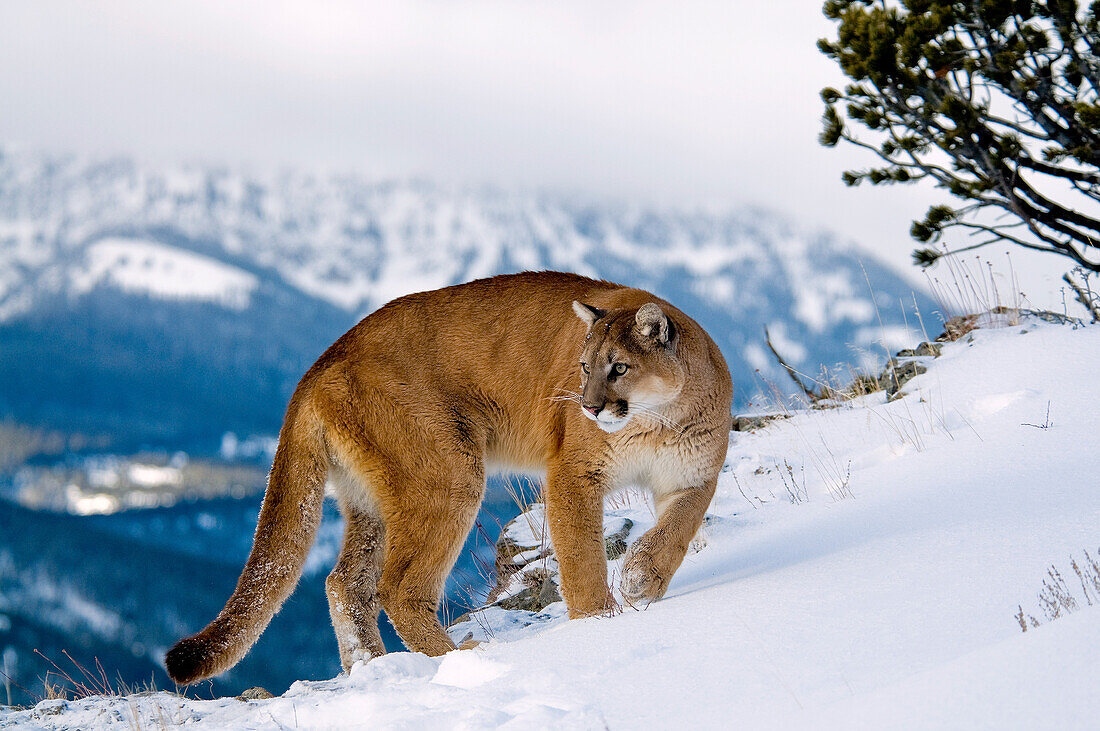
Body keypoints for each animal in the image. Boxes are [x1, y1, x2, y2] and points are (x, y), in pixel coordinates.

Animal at [165, 269, 730, 685]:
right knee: (396, 588)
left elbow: (677, 530)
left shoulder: (694, 475)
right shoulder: (574, 475)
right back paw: (456, 657)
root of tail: (323, 359)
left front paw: (641, 579)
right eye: (585, 366)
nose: (589, 407)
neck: (656, 421)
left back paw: (372, 666)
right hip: (450, 472)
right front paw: (599, 626)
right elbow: (583, 558)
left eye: (619, 368)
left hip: (370, 499)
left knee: (345, 584)